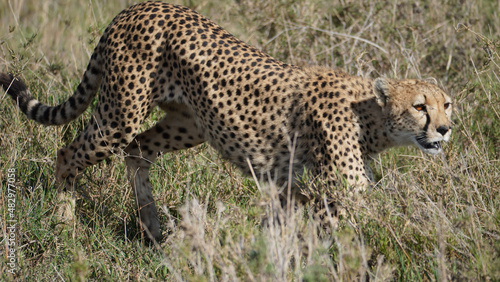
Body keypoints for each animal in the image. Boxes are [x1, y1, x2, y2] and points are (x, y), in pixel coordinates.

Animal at [0, 1, 454, 241]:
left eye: (447, 105)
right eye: (420, 107)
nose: (445, 129)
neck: (369, 115)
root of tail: (139, 6)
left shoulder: (290, 183)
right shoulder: (341, 188)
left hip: (189, 125)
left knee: (138, 150)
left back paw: (153, 228)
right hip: (120, 114)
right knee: (69, 151)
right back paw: (64, 222)